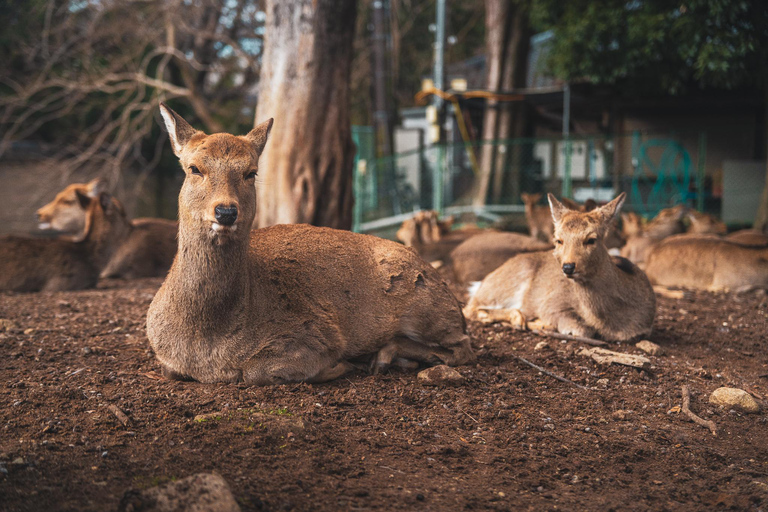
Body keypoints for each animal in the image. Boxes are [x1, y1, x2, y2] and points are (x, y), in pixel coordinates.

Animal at [148, 104, 474, 384]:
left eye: (251, 172)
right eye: (194, 168)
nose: (226, 211)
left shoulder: (316, 333)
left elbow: (255, 371)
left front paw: (339, 365)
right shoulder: (165, 358)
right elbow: (170, 370)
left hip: (428, 308)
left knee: (462, 347)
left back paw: (382, 357)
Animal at [462, 194, 656, 342]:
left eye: (591, 239)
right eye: (559, 240)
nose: (568, 267)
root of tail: (480, 283)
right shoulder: (552, 303)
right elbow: (583, 329)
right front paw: (543, 323)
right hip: (504, 285)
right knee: (470, 308)